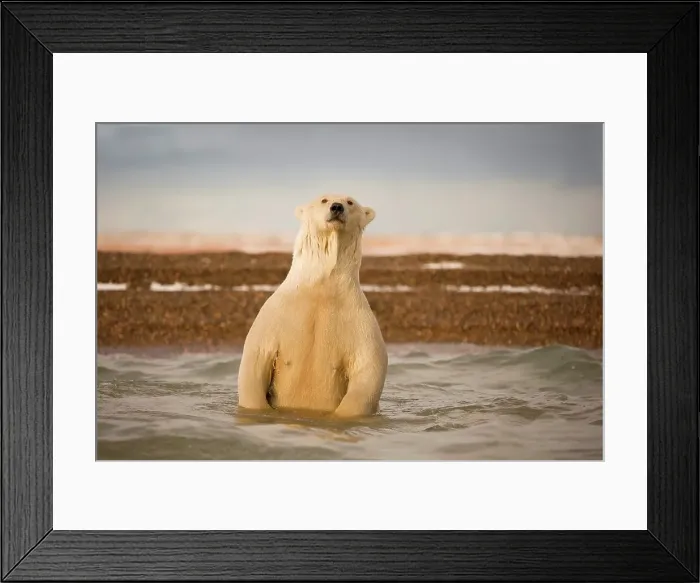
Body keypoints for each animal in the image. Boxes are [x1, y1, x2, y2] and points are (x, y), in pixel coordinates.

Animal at [237, 194, 388, 418]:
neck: (321, 286)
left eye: (350, 202)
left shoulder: (359, 322)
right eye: (324, 199)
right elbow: (255, 359)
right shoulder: (275, 315)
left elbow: (369, 366)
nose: (337, 207)